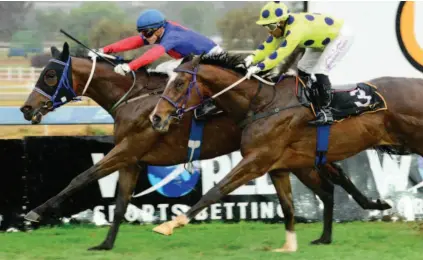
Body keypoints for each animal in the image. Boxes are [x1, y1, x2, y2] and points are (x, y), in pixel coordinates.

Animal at [19, 42, 390, 252]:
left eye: (49, 77)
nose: (25, 109)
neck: (136, 99)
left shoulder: (130, 148)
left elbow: (82, 177)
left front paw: (33, 213)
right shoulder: (133, 159)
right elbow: (121, 202)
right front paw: (105, 244)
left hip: (287, 156)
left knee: (332, 180)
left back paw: (365, 209)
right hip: (294, 157)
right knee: (330, 182)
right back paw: (347, 221)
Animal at [151, 53, 422, 246]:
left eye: (179, 83)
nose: (156, 117)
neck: (262, 104)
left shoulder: (257, 160)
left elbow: (216, 190)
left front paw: (171, 224)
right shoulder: (278, 166)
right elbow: (288, 206)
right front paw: (289, 246)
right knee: (328, 190)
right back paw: (327, 235)